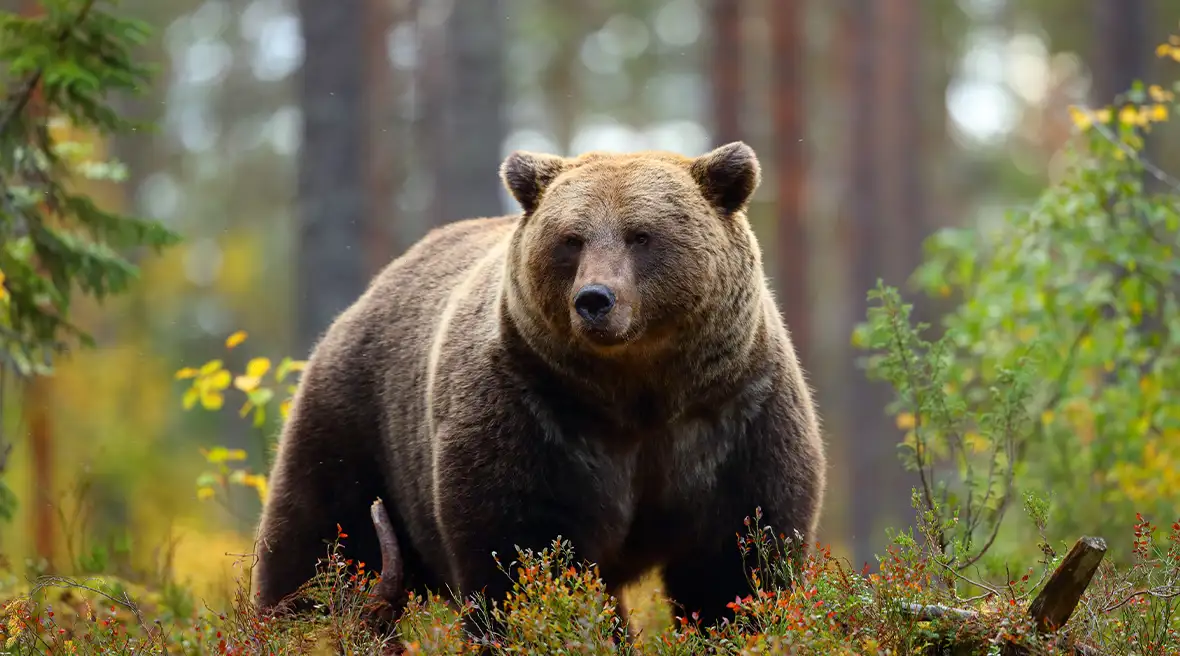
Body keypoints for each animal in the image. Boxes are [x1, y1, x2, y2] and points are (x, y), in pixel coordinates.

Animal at [251, 141, 827, 638]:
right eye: (571, 239)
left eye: (641, 235)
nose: (594, 299)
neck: (640, 393)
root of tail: (370, 292)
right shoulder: (535, 412)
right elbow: (522, 553)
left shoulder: (733, 415)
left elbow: (738, 560)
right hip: (358, 422)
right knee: (320, 542)